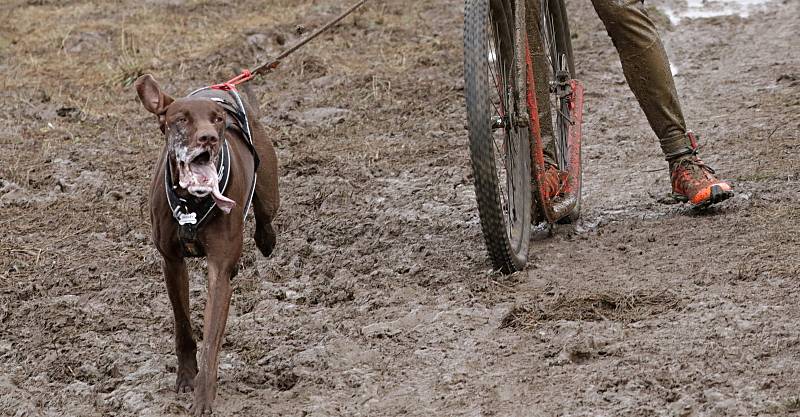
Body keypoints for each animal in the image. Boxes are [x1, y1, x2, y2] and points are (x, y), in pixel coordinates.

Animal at [134, 74, 278, 412]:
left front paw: (203, 395)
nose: (209, 138)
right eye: (181, 119)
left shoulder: (218, 271)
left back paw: (266, 240)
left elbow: (211, 339)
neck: (191, 202)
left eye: (217, 120)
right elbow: (183, 325)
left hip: (269, 192)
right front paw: (187, 377)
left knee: (265, 219)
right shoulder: (172, 262)